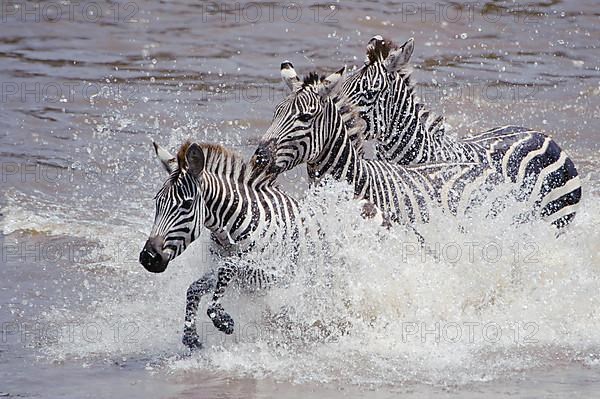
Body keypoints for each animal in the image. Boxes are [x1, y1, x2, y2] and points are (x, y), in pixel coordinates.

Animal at [139, 141, 384, 350]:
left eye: (187, 205)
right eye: (157, 202)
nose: (149, 258)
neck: (230, 232)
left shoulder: (273, 273)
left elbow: (229, 268)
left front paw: (222, 319)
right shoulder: (221, 269)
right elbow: (194, 288)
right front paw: (191, 336)